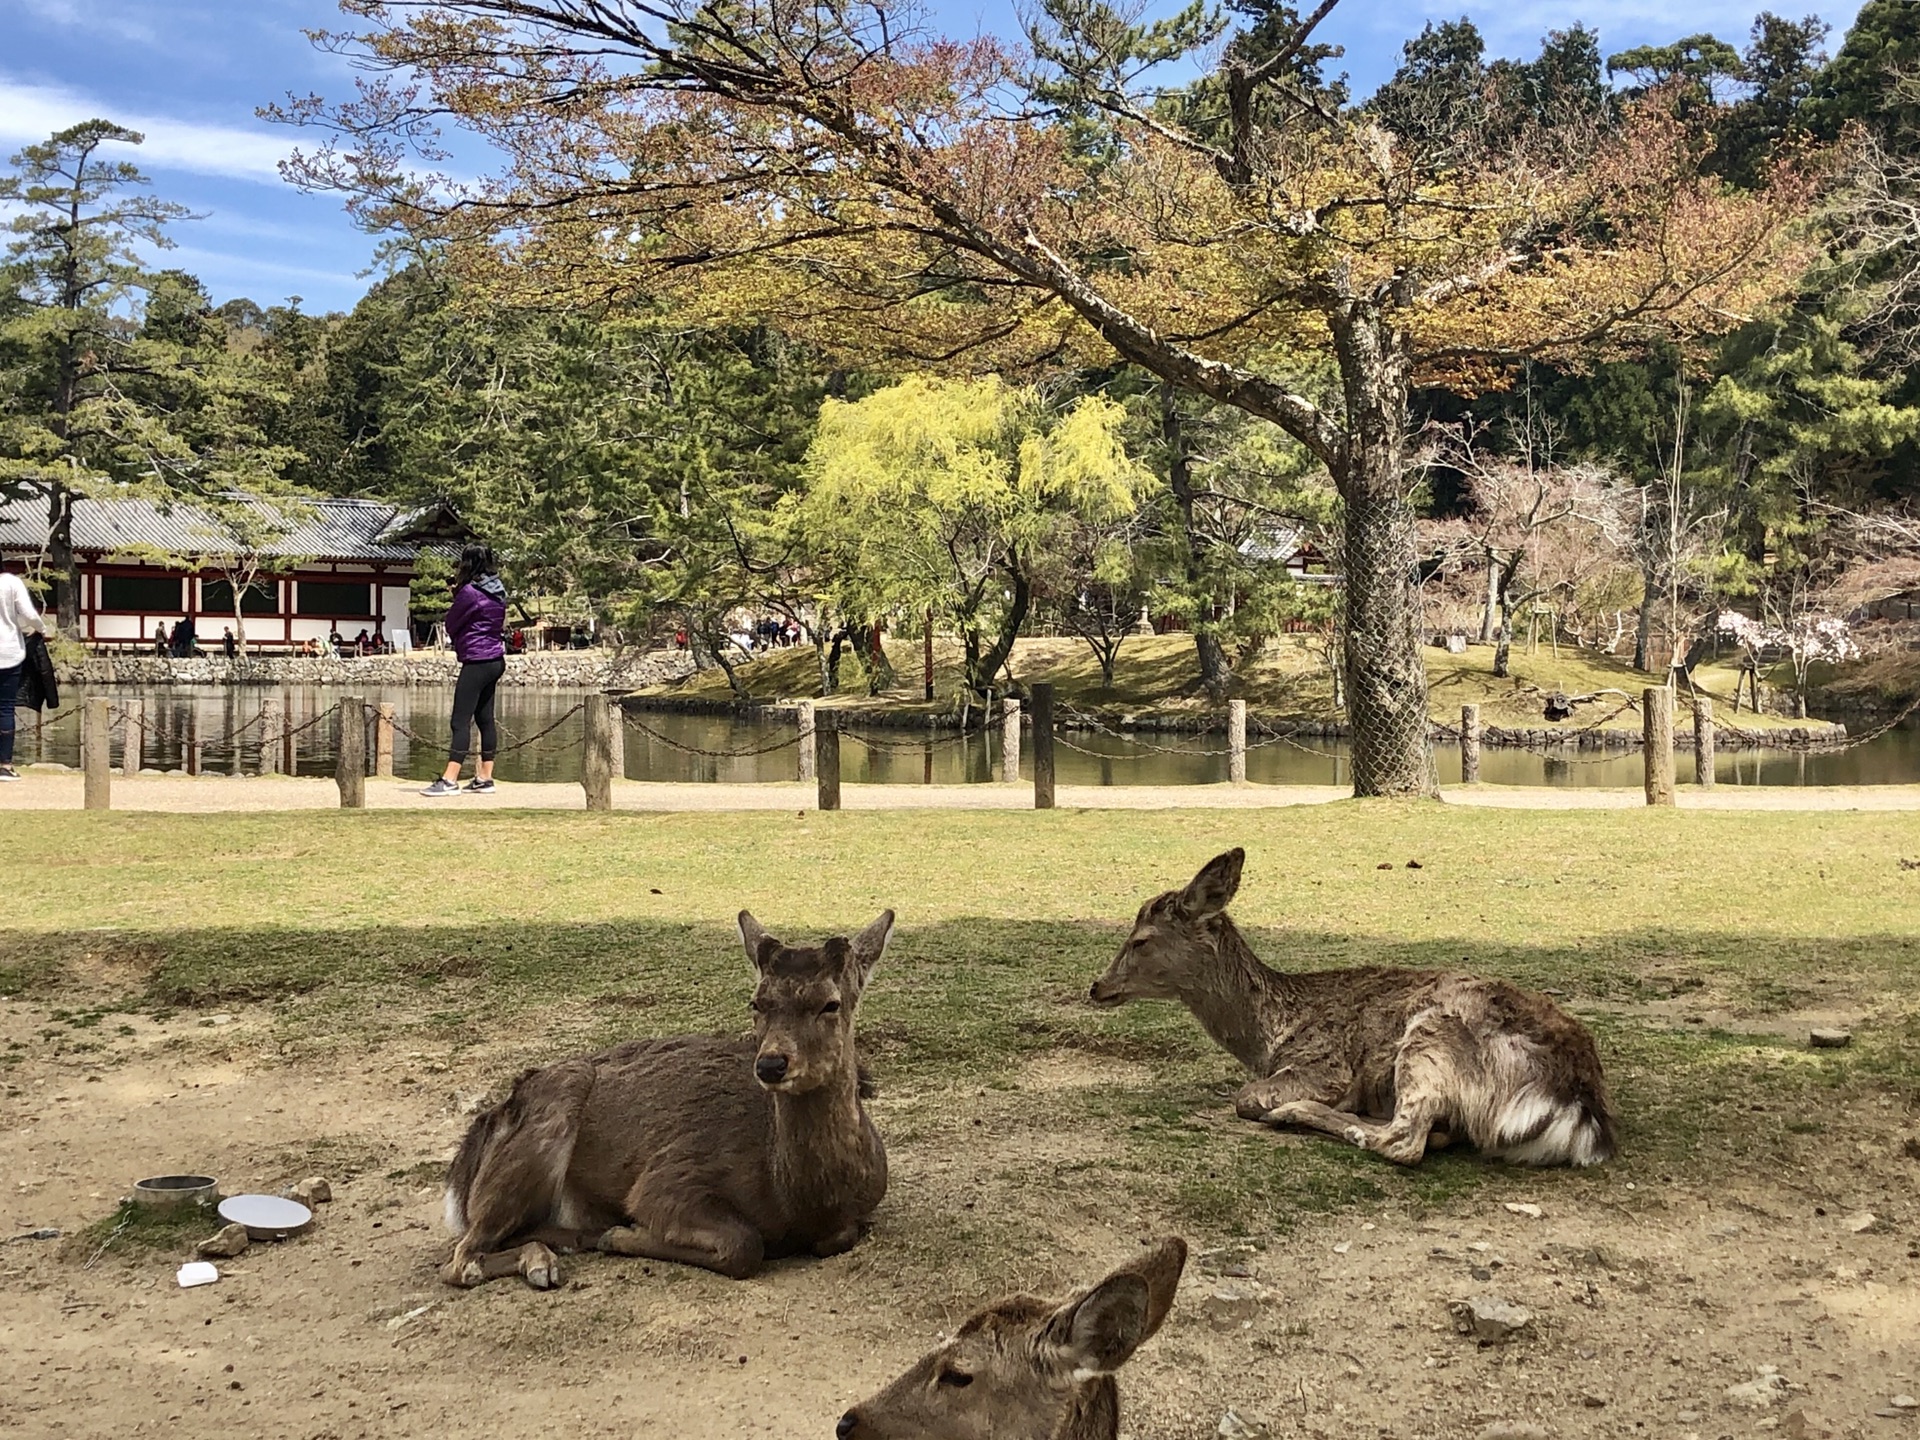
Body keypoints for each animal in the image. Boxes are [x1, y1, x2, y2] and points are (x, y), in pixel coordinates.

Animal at [439, 906, 894, 1290]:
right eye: (756, 1002)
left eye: (831, 1003)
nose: (770, 1064)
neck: (799, 1201)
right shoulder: (669, 1179)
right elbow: (744, 1244)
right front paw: (622, 1233)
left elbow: (838, 1237)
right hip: (551, 1107)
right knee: (461, 1260)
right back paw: (547, 1260)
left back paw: (553, 1250)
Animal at [1090, 856, 1612, 1175]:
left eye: (1141, 940)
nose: (1097, 986)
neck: (1273, 1034)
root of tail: (1577, 1104)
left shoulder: (1324, 1065)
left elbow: (1246, 1097)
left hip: (1429, 1039)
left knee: (1404, 1141)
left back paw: (1300, 1113)